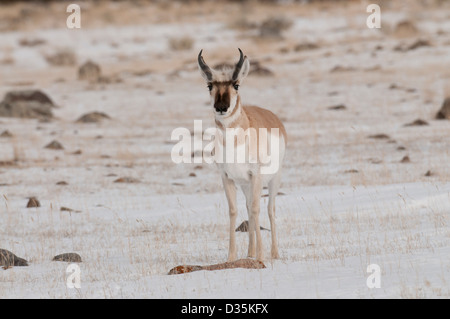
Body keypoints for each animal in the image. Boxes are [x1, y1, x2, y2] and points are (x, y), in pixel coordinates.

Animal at [198, 48, 288, 262]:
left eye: (236, 84)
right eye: (210, 85)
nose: (221, 107)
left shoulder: (256, 176)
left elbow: (257, 209)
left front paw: (261, 255)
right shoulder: (227, 178)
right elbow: (234, 211)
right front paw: (231, 257)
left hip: (273, 180)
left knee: (269, 209)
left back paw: (273, 253)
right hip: (246, 185)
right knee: (248, 207)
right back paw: (250, 252)